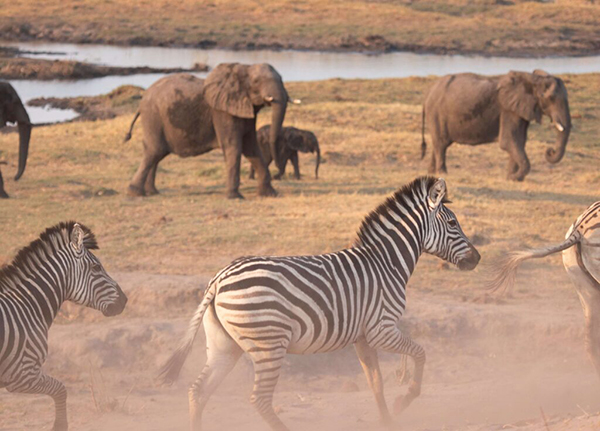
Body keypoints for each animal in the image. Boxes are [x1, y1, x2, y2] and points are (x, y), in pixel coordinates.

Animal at [0, 223, 127, 431]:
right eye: (96, 267)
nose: (124, 300)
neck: (26, 305)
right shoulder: (22, 374)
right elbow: (61, 389)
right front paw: (59, 426)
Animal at [123, 62, 298, 199]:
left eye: (282, 78)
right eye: (256, 81)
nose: (277, 173)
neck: (244, 68)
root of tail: (142, 99)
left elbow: (251, 148)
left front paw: (270, 194)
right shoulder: (222, 111)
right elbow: (233, 147)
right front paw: (235, 197)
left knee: (156, 154)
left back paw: (152, 192)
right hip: (153, 117)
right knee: (154, 151)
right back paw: (135, 193)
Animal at [158, 176, 478, 431]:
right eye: (452, 223)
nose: (477, 259)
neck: (386, 263)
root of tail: (218, 280)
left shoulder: (363, 336)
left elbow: (376, 383)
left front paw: (387, 420)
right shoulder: (381, 329)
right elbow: (420, 354)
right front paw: (405, 398)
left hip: (224, 346)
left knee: (198, 391)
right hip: (269, 345)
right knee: (259, 399)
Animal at [422, 70, 572, 181]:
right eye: (551, 98)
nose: (550, 151)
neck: (532, 78)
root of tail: (429, 91)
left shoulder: (519, 110)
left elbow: (519, 141)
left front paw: (510, 177)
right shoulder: (508, 110)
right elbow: (508, 141)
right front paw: (514, 177)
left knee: (438, 144)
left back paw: (432, 173)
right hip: (435, 113)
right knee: (441, 144)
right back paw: (443, 173)